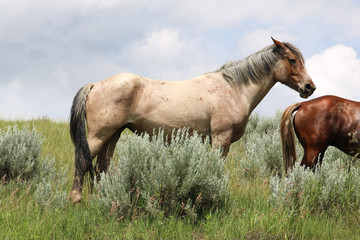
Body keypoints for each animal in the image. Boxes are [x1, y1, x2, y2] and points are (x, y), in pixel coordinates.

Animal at [69, 37, 316, 202]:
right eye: (292, 60)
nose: (309, 87)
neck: (233, 89)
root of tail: (95, 85)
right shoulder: (221, 139)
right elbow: (216, 168)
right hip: (99, 136)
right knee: (82, 162)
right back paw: (76, 199)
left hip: (113, 135)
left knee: (102, 167)